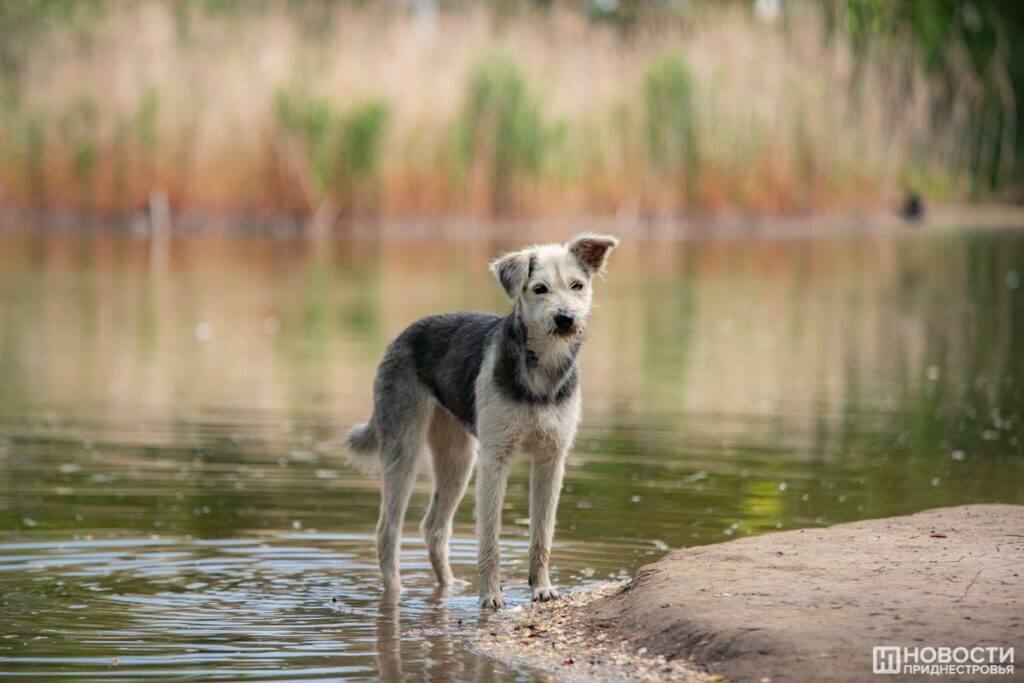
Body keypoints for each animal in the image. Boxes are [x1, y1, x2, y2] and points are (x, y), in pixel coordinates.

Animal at [346, 233, 614, 610]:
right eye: (540, 288)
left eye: (577, 285)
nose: (565, 319)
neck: (541, 374)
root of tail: (403, 335)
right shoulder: (494, 458)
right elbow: (490, 538)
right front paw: (490, 595)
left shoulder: (551, 459)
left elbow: (542, 534)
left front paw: (542, 588)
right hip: (404, 448)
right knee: (388, 532)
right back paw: (396, 594)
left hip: (457, 458)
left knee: (434, 528)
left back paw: (449, 586)